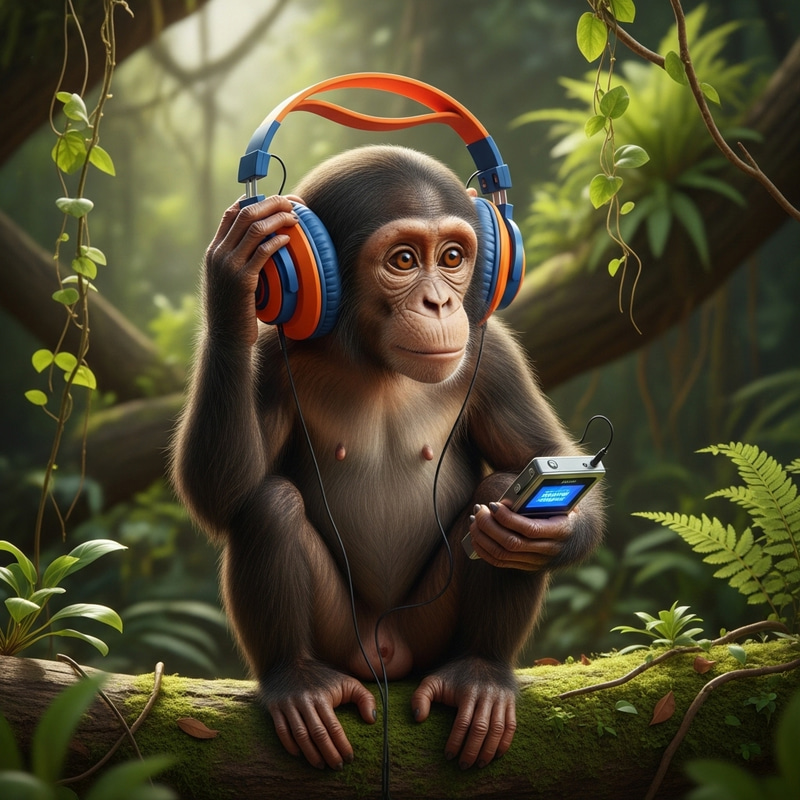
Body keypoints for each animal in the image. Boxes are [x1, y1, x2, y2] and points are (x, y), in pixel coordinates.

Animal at [171, 144, 604, 772]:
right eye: (403, 260)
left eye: (452, 257)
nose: (440, 301)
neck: (370, 354)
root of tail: (387, 656)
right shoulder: (273, 363)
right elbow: (222, 495)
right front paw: (236, 273)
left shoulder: (493, 355)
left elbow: (541, 455)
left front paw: (542, 531)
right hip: (343, 639)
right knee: (268, 505)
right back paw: (296, 681)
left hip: (428, 633)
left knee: (497, 486)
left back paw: (481, 673)